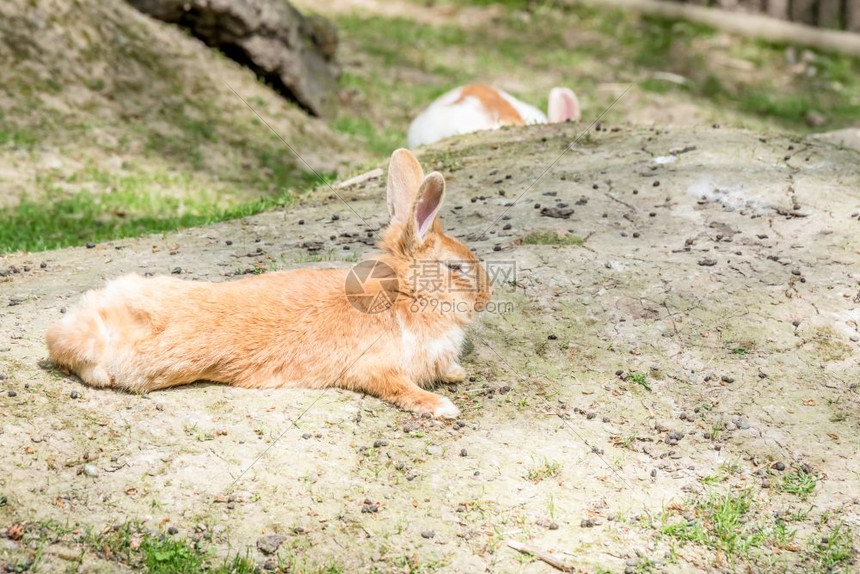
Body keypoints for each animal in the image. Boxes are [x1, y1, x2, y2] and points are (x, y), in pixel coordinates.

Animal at [47, 148, 490, 418]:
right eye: (455, 268)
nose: (486, 297)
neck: (403, 297)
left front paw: (457, 374)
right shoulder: (378, 367)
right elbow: (401, 389)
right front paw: (442, 406)